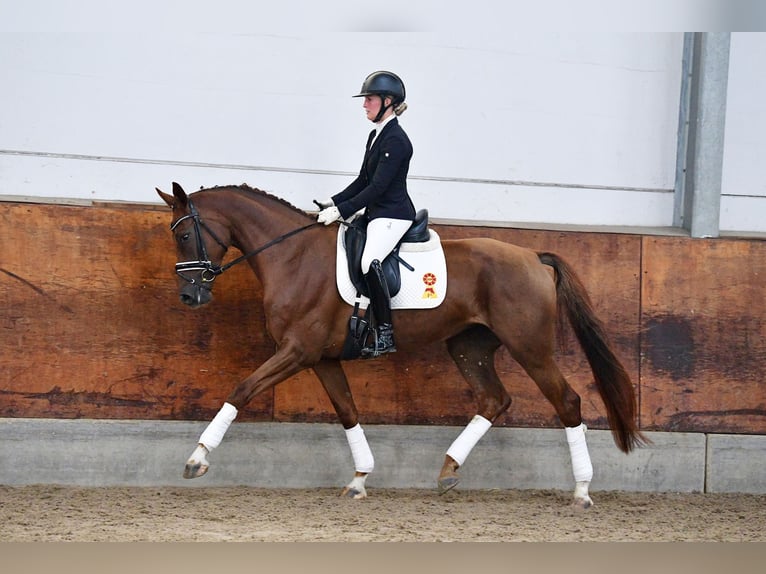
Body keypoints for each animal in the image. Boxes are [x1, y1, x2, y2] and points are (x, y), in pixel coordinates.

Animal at [158, 181, 648, 508]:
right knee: (494, 399)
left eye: (183, 235)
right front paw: (359, 479)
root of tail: (532, 256)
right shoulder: (320, 357)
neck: (293, 257)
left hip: (530, 346)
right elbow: (348, 411)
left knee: (567, 401)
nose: (189, 298)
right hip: (468, 347)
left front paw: (197, 459)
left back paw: (582, 491)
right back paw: (448, 470)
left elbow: (241, 389)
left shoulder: (296, 351)